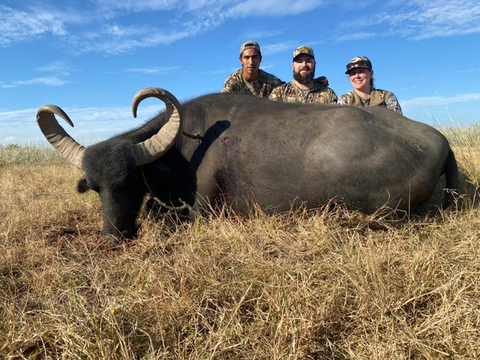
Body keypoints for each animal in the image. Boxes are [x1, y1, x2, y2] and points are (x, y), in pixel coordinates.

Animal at [36, 86, 458, 239]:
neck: (184, 145)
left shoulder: (201, 210)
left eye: (132, 183)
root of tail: (438, 141)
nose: (112, 236)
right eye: (96, 188)